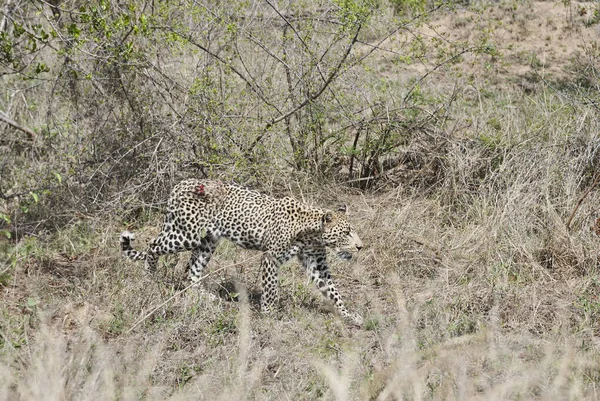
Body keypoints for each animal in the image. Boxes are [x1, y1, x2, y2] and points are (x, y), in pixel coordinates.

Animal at [119, 179, 364, 324]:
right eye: (346, 233)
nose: (360, 246)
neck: (311, 231)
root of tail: (181, 183)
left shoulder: (317, 263)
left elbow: (333, 292)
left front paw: (350, 316)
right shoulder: (271, 257)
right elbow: (271, 289)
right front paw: (269, 314)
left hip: (208, 241)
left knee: (192, 271)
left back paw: (207, 298)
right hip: (186, 235)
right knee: (152, 245)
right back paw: (150, 277)